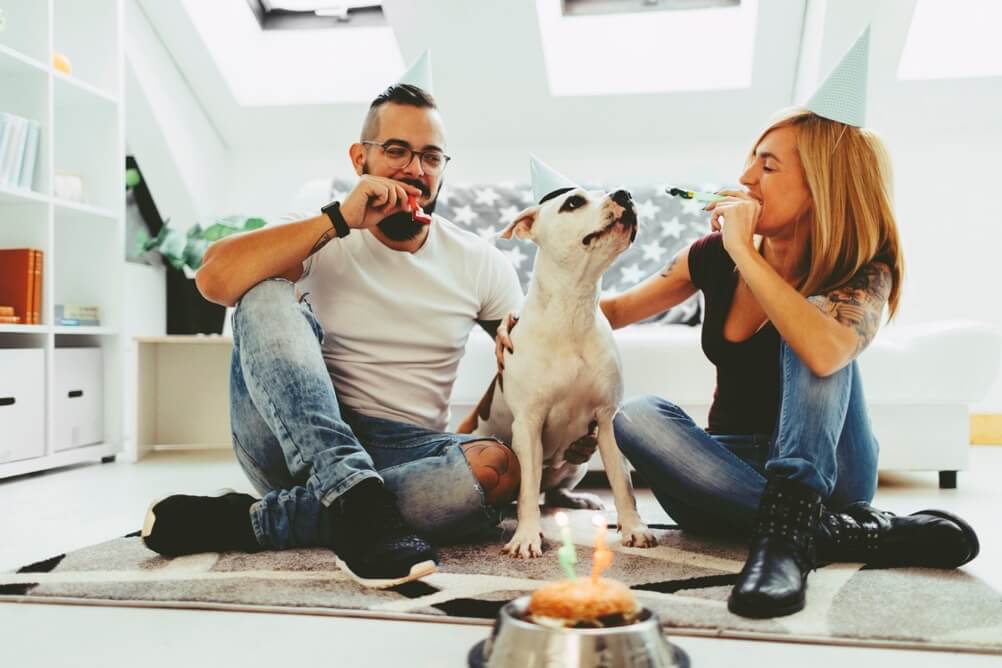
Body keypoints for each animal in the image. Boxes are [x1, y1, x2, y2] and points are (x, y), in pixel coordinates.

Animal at [468, 187, 657, 560]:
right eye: (573, 202)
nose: (624, 194)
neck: (573, 307)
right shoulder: (528, 423)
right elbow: (527, 492)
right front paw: (526, 537)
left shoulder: (608, 420)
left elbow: (623, 483)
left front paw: (635, 528)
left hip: (577, 463)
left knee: (555, 492)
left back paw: (578, 499)